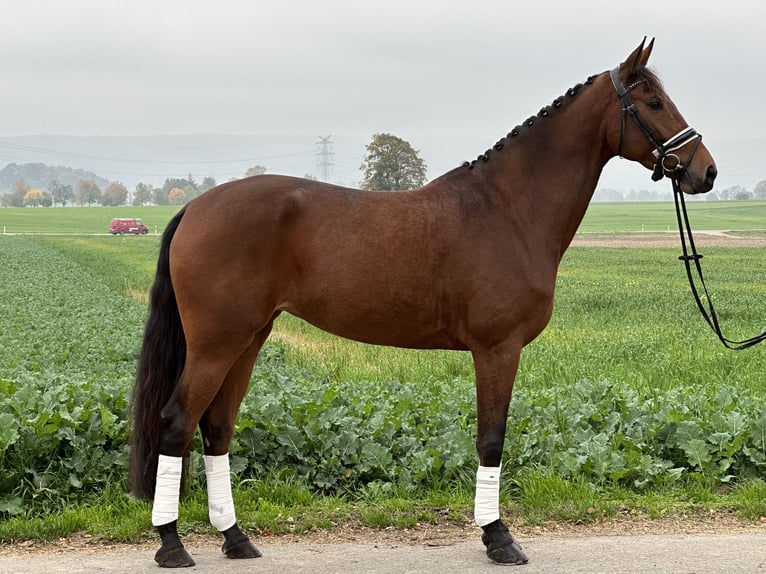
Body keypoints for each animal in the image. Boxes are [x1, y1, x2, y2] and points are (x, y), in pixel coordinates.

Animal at [130, 38, 712, 568]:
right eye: (653, 102)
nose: (705, 171)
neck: (507, 210)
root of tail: (194, 208)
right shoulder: (498, 349)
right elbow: (491, 439)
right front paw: (498, 538)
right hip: (216, 344)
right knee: (178, 423)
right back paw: (172, 545)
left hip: (249, 339)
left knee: (217, 429)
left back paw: (235, 538)